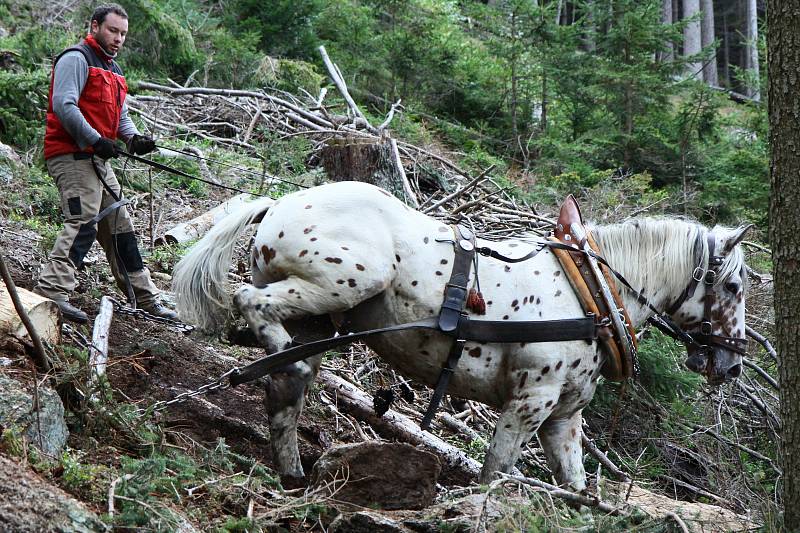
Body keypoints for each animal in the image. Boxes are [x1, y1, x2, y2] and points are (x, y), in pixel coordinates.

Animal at [170, 181, 752, 488]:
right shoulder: (530, 402)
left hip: (317, 316)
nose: (733, 363)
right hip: (343, 281)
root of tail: (282, 202)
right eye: (733, 285)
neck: (590, 292)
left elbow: (578, 485)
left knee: (284, 397)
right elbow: (495, 471)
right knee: (252, 306)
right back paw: (277, 355)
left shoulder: (562, 420)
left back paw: (293, 473)